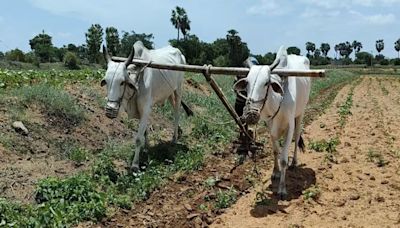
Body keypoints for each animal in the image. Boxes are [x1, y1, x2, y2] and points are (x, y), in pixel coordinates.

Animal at [101, 41, 192, 173]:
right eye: (106, 81)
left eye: (122, 82)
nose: (110, 110)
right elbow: (145, 132)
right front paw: (146, 148)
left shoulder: (145, 109)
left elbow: (138, 138)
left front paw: (135, 165)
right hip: (169, 92)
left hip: (178, 89)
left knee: (176, 112)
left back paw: (174, 138)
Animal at [234, 45, 312, 198]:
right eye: (247, 83)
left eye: (266, 83)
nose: (251, 114)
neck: (278, 100)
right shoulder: (270, 126)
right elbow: (276, 151)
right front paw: (275, 172)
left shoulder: (289, 126)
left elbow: (283, 159)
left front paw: (282, 189)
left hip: (301, 113)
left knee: (297, 137)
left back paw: (294, 162)